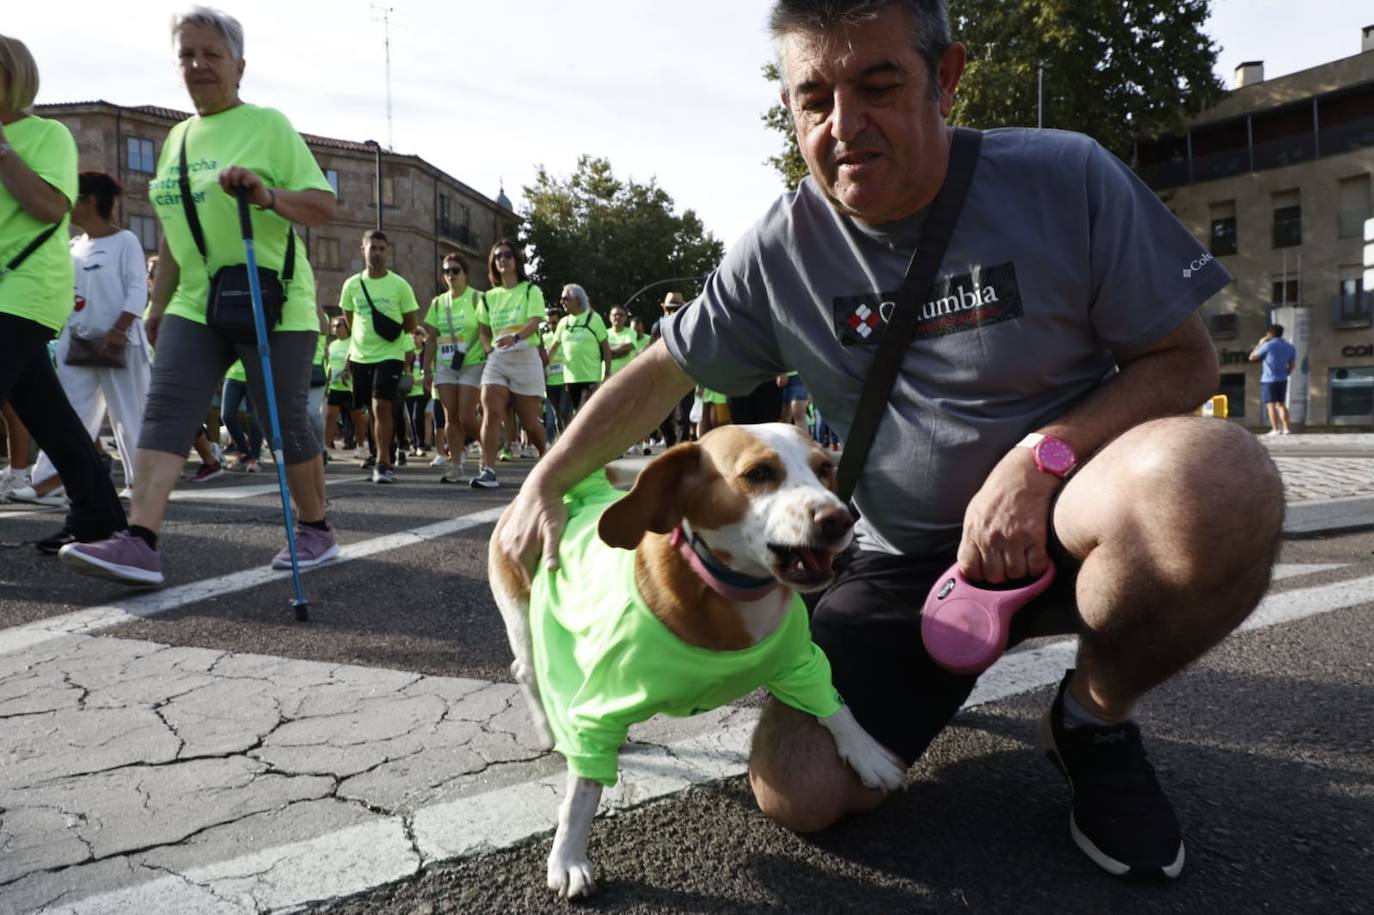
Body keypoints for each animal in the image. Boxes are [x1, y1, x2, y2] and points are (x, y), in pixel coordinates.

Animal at [489, 423, 906, 895]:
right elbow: (581, 795)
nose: (839, 519)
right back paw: (550, 730)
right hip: (524, 619)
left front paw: (866, 753)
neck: (731, 592)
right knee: (527, 670)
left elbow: (836, 708)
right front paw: (568, 856)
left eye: (824, 469)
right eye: (759, 473)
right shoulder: (603, 704)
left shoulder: (802, 661)